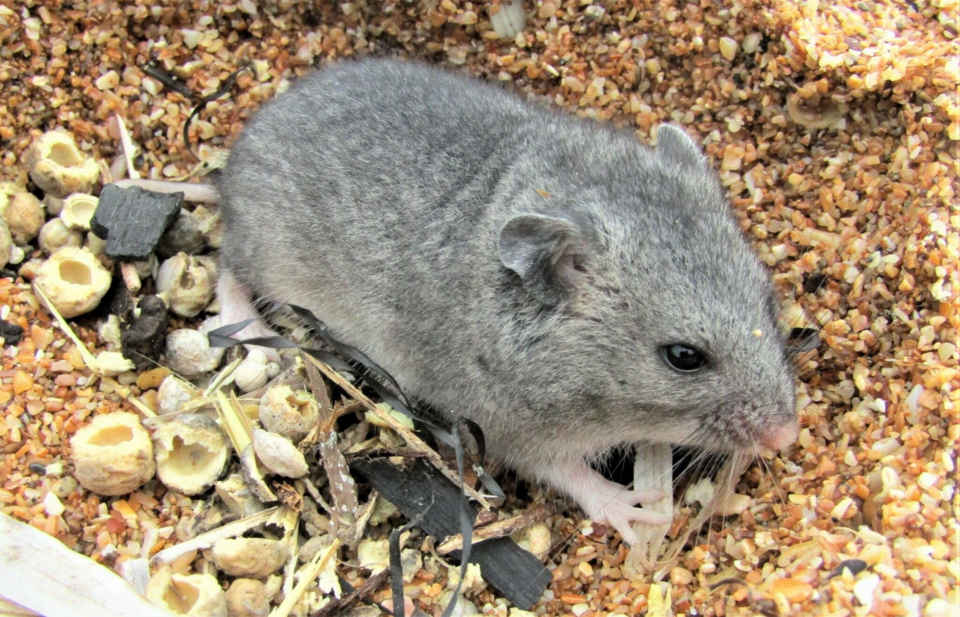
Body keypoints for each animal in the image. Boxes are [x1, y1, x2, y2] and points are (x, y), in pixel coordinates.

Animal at [216, 59, 798, 545]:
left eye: (770, 304)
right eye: (683, 357)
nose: (784, 437)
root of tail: (243, 148)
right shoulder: (509, 428)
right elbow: (569, 474)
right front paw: (635, 508)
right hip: (268, 257)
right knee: (227, 271)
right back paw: (250, 336)